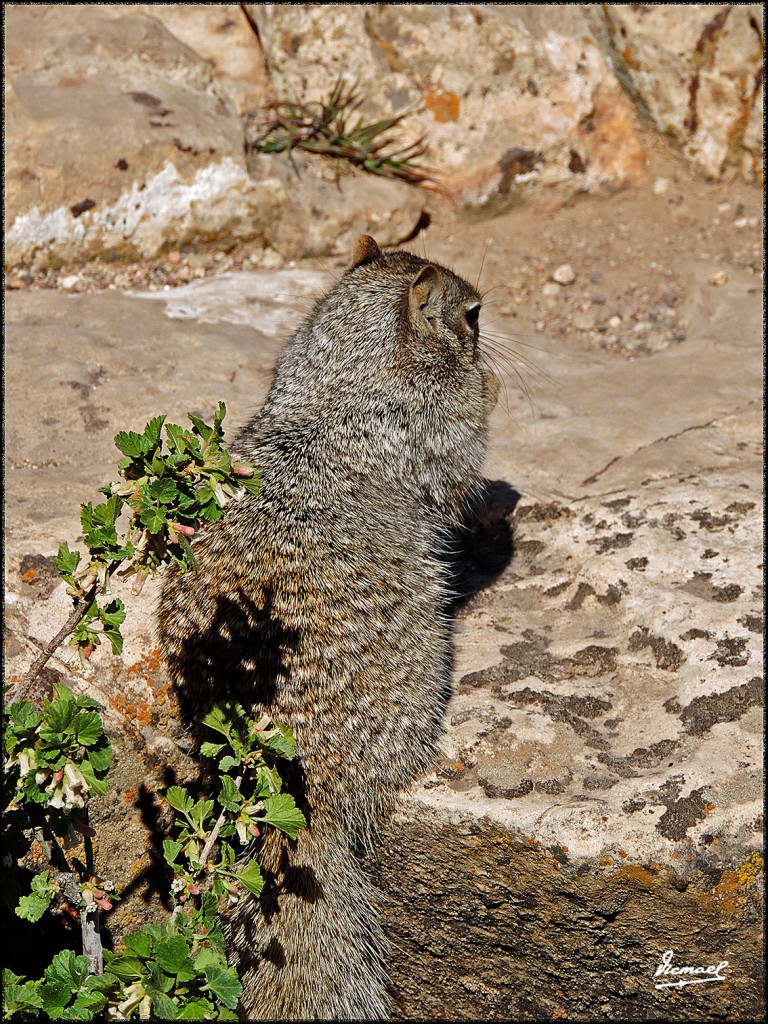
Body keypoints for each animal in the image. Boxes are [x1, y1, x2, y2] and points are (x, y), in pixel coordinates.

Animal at [159, 235, 501, 1019]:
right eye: (471, 313)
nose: (489, 321)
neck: (333, 385)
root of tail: (286, 782)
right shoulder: (431, 425)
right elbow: (463, 454)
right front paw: (493, 386)